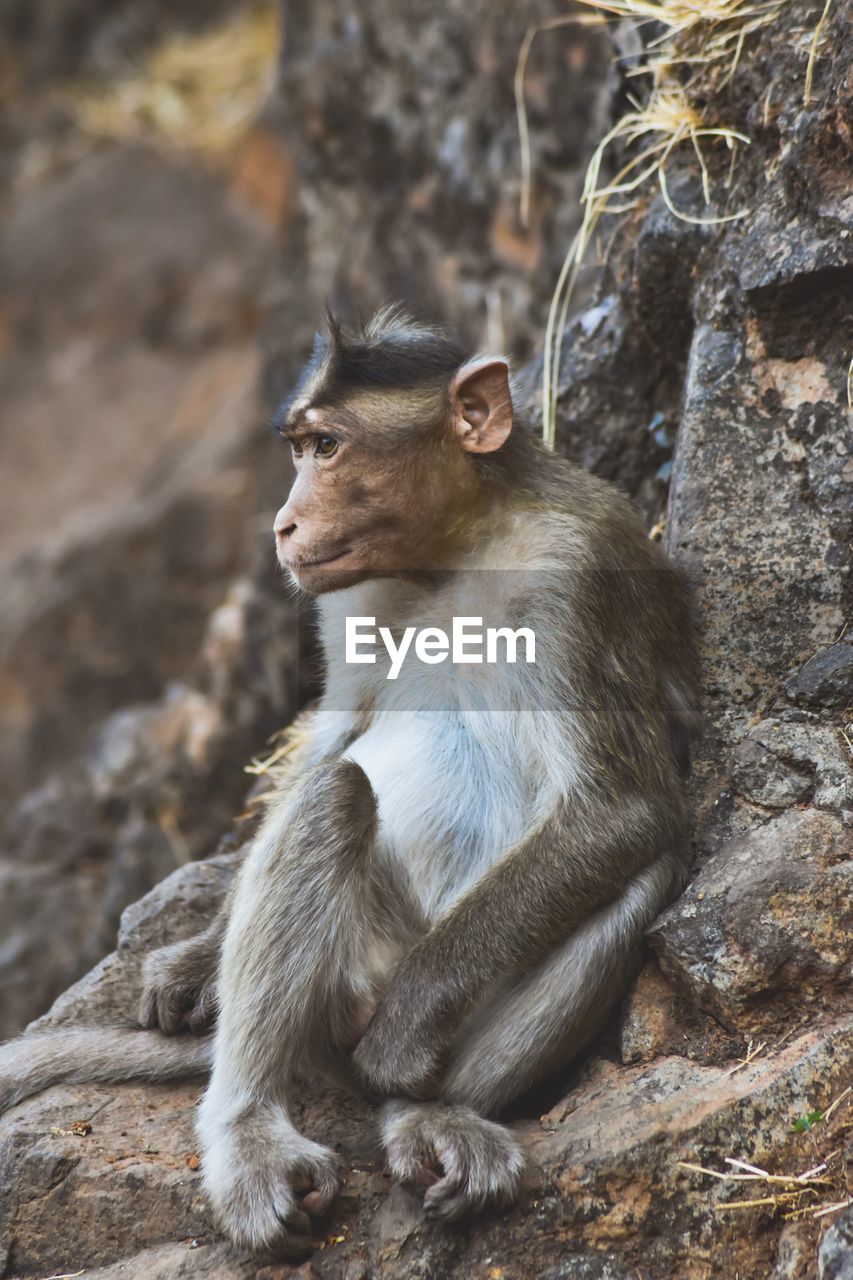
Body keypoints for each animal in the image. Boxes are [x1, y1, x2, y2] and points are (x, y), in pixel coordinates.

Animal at [0, 312, 696, 1259]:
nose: (284, 524)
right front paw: (193, 959)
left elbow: (621, 807)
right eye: (299, 447)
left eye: (327, 447)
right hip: (341, 978)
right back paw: (248, 1132)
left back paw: (424, 1110)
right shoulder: (342, 597)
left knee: (641, 869)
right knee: (332, 797)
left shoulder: (582, 568)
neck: (453, 552)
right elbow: (331, 736)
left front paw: (405, 1033)